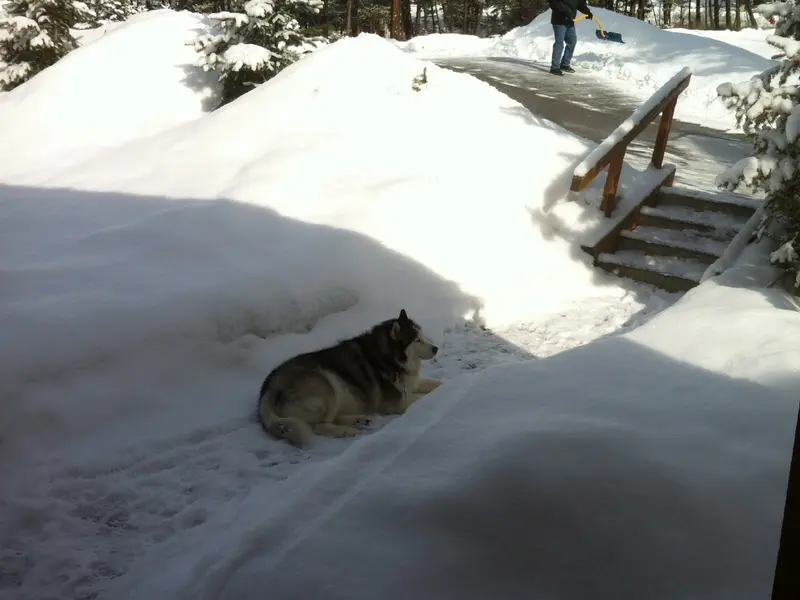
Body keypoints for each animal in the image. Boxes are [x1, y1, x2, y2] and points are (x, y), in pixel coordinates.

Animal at [260, 312, 440, 448]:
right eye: (417, 340)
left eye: (422, 336)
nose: (436, 348)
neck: (387, 357)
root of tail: (268, 385)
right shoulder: (395, 403)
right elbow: (418, 398)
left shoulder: (413, 383)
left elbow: (437, 384)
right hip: (327, 385)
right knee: (319, 426)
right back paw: (346, 430)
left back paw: (360, 420)